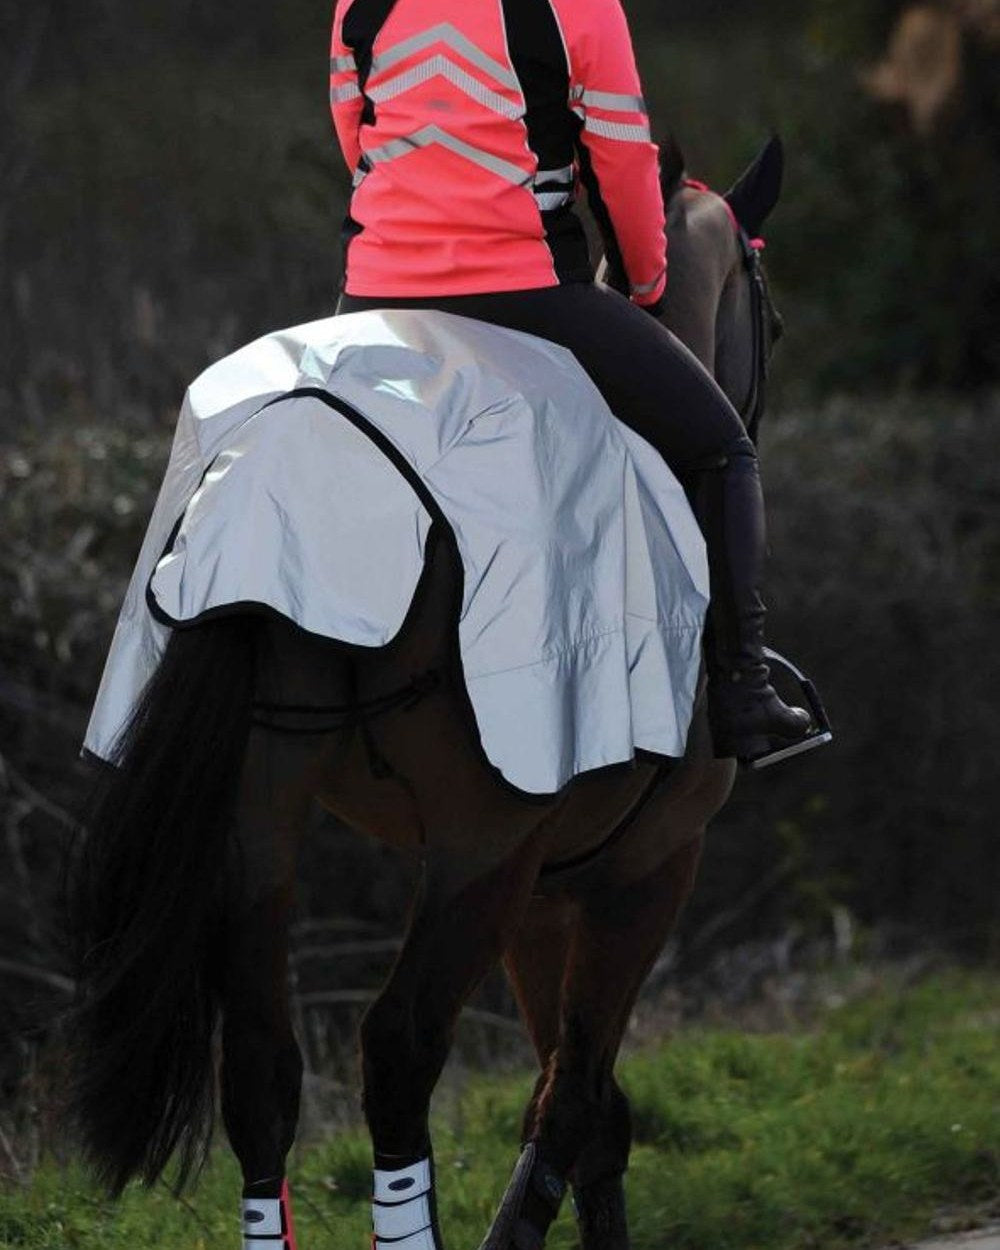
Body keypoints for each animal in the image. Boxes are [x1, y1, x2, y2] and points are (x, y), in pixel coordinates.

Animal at [68, 136, 790, 1250]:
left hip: (256, 821)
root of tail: (292, 456)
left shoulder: (546, 887)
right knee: (400, 1045)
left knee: (263, 1070)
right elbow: (576, 1097)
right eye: (775, 319)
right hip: (478, 844)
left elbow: (585, 1106)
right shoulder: (645, 865)